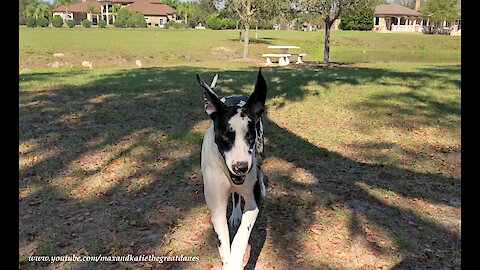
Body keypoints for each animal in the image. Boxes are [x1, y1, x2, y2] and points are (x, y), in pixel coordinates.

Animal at [197, 68, 268, 268]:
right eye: (224, 136)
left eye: (249, 135)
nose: (241, 167)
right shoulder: (217, 209)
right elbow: (224, 244)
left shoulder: (252, 203)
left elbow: (241, 237)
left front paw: (235, 261)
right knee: (236, 195)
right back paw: (236, 213)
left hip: (260, 151)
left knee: (260, 169)